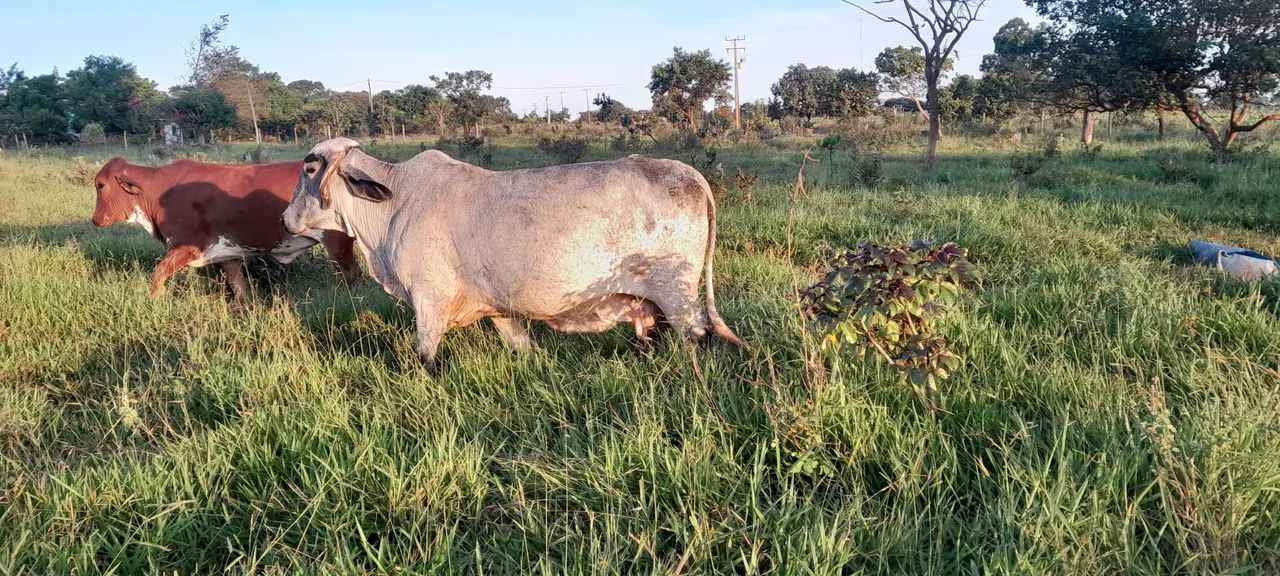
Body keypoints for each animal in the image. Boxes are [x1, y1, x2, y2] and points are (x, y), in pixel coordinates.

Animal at [92, 157, 360, 300]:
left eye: (101, 185)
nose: (95, 219)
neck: (158, 193)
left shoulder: (185, 247)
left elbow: (157, 276)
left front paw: (155, 302)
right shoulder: (228, 255)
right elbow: (241, 293)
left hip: (337, 243)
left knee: (350, 276)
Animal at [281, 137, 746, 373]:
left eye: (309, 169)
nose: (285, 219)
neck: (397, 202)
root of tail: (691, 174)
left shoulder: (429, 301)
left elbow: (426, 359)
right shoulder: (500, 308)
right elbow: (522, 347)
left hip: (677, 294)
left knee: (697, 338)